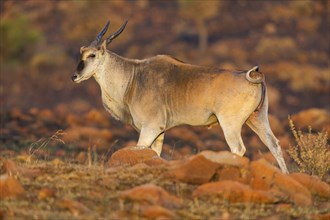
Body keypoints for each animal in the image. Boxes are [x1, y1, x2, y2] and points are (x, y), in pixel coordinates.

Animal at [71, 19, 288, 173]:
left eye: (92, 55)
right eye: (82, 52)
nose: (75, 76)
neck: (133, 76)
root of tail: (253, 76)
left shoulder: (150, 128)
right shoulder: (158, 133)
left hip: (230, 124)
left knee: (238, 149)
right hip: (257, 120)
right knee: (274, 145)